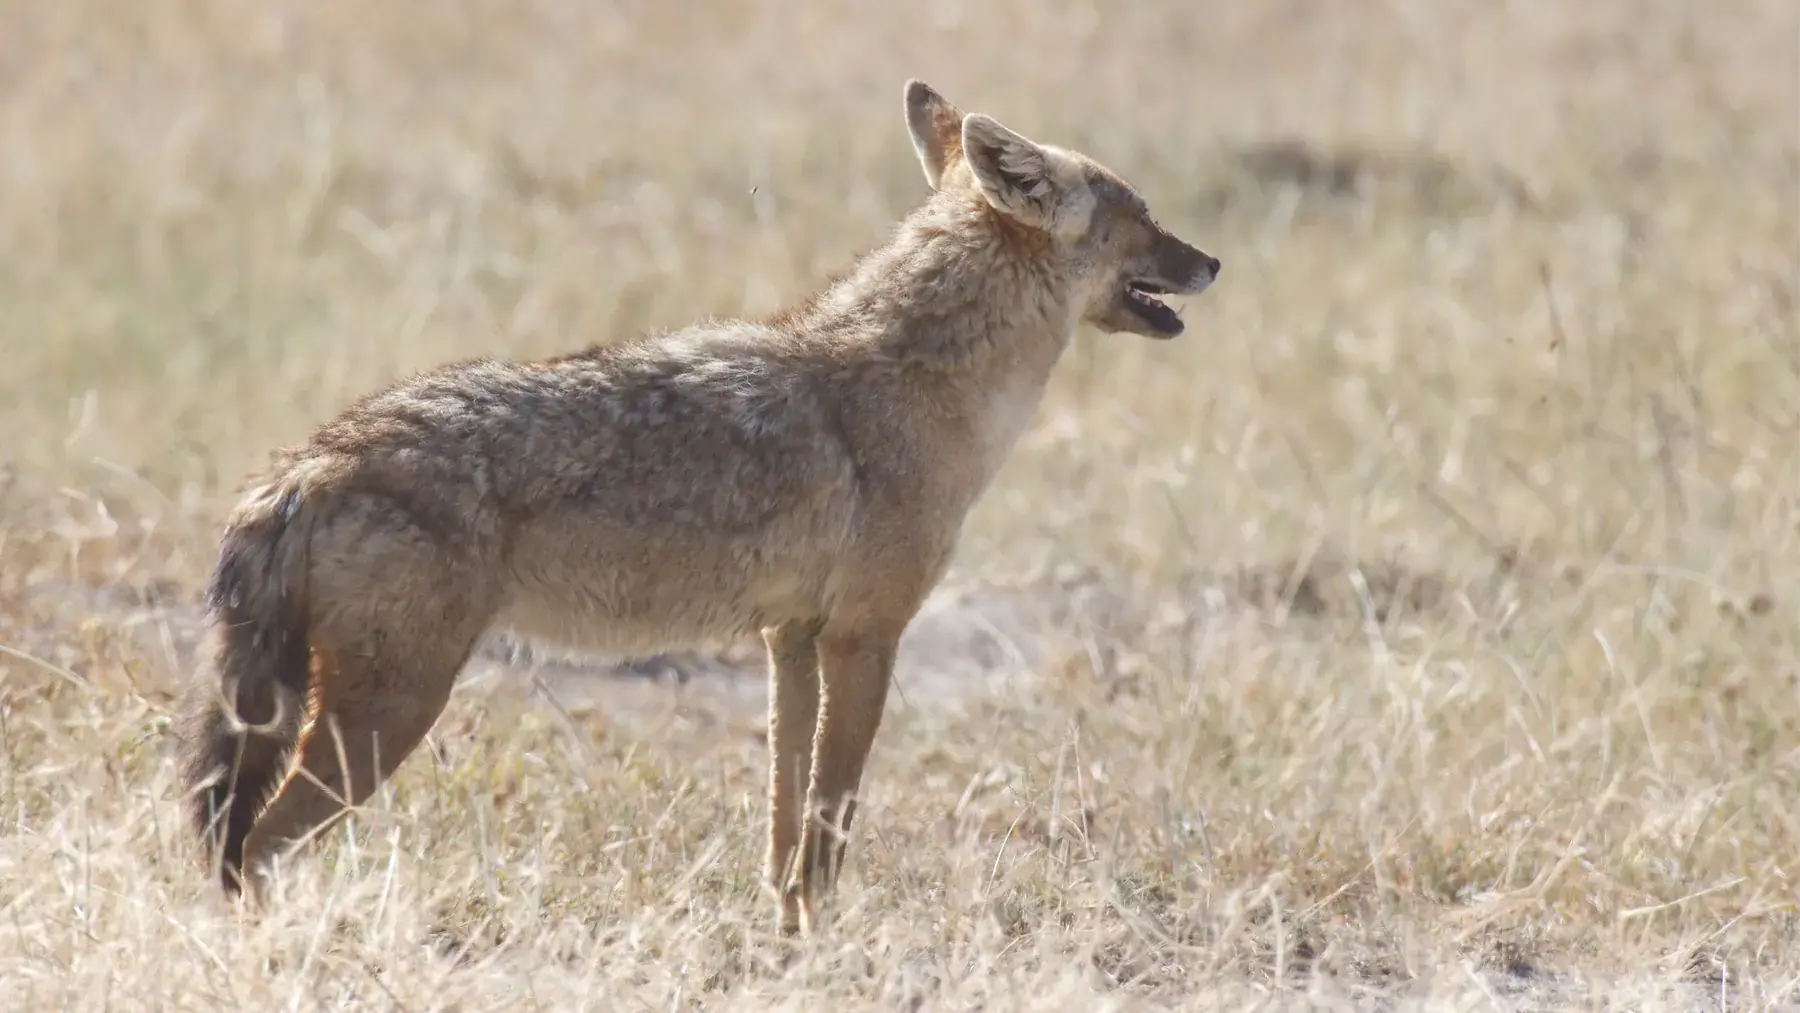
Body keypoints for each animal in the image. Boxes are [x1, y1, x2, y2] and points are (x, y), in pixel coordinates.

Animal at [176, 79, 1219, 935]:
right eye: (1141, 214)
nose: (1212, 261)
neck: (925, 383)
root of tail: (302, 466)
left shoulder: (790, 638)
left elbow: (785, 822)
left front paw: (787, 938)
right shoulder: (866, 637)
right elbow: (831, 821)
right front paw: (828, 944)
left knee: (240, 846)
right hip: (387, 716)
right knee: (252, 848)